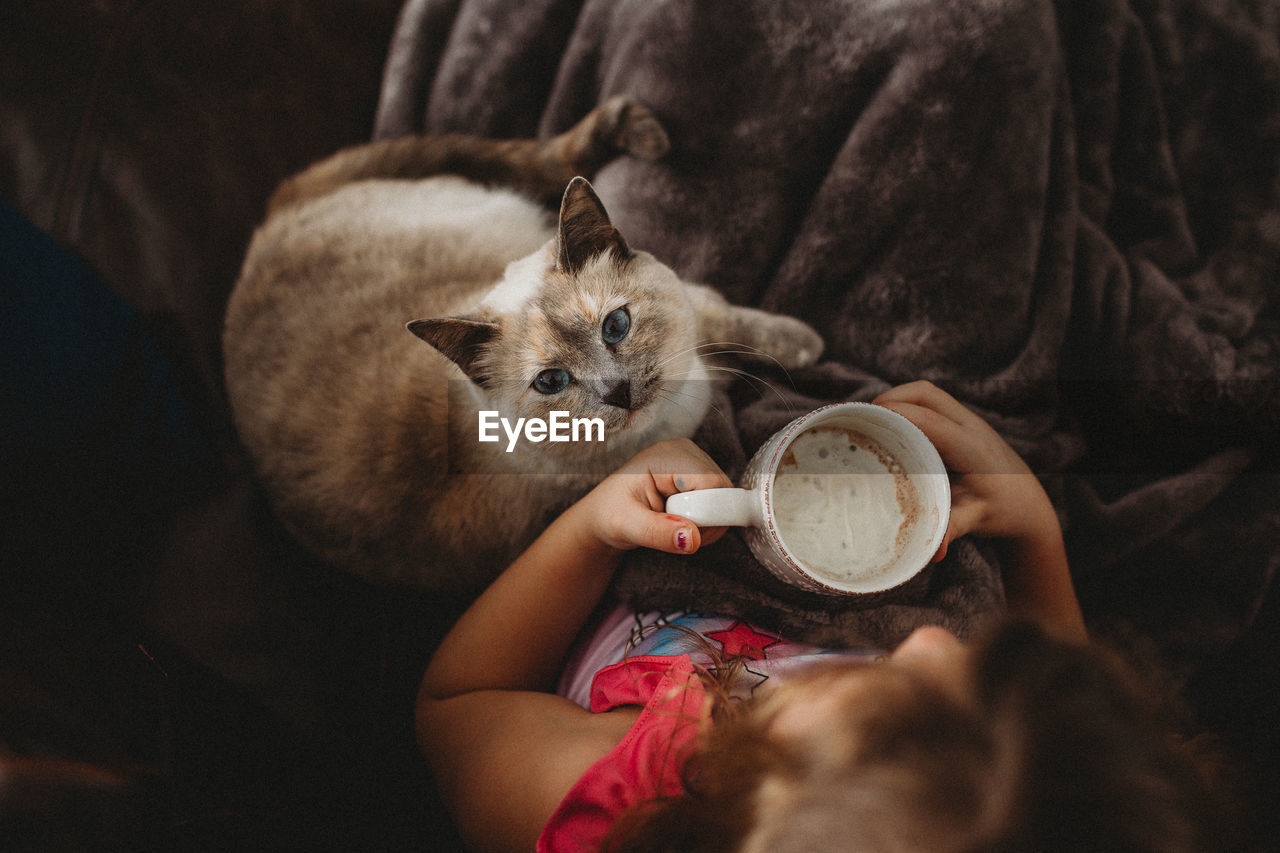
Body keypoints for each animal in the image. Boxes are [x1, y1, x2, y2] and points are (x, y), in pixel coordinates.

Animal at [222, 97, 819, 591]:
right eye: (551, 382)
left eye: (615, 327)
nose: (618, 391)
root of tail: (271, 218)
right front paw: (812, 352)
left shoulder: (698, 322)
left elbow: (735, 321)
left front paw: (804, 346)